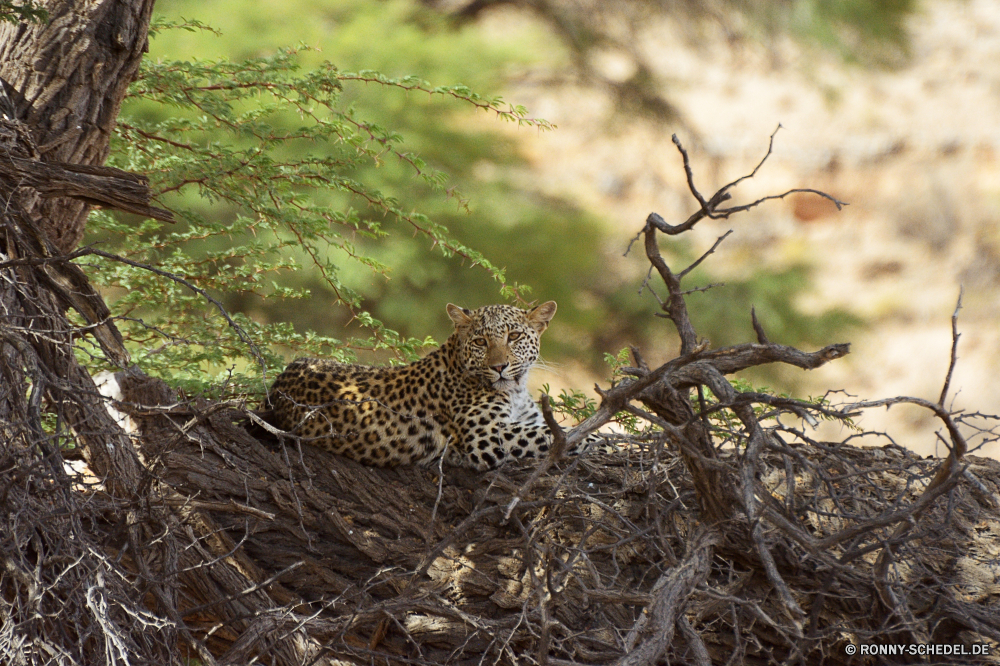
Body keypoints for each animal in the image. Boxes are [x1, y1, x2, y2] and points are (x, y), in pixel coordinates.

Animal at [262, 300, 600, 466]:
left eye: (514, 336)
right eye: (480, 341)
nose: (499, 367)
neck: (515, 389)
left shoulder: (524, 419)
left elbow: (553, 429)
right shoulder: (486, 436)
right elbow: (553, 434)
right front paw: (600, 441)